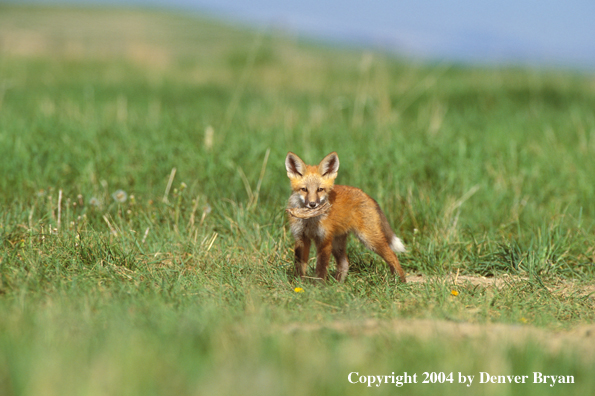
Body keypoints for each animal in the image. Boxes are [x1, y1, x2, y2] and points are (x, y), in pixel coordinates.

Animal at [286, 150, 408, 284]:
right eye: (304, 189)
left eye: (320, 189)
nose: (312, 204)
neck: (310, 222)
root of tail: (367, 195)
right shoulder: (301, 238)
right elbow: (300, 266)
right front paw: (298, 283)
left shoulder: (324, 239)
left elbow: (321, 267)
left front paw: (318, 286)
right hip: (338, 243)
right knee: (344, 263)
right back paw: (338, 285)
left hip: (369, 239)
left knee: (393, 256)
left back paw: (400, 282)